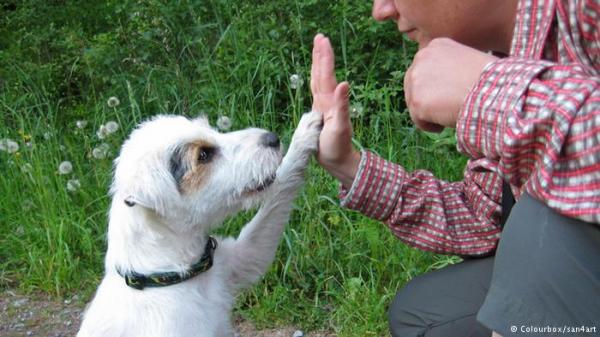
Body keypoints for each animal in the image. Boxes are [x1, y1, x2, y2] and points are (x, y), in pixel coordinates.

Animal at [79, 111, 326, 336]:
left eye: (211, 129)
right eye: (204, 154)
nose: (272, 138)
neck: (166, 276)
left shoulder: (244, 258)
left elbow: (280, 190)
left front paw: (305, 133)